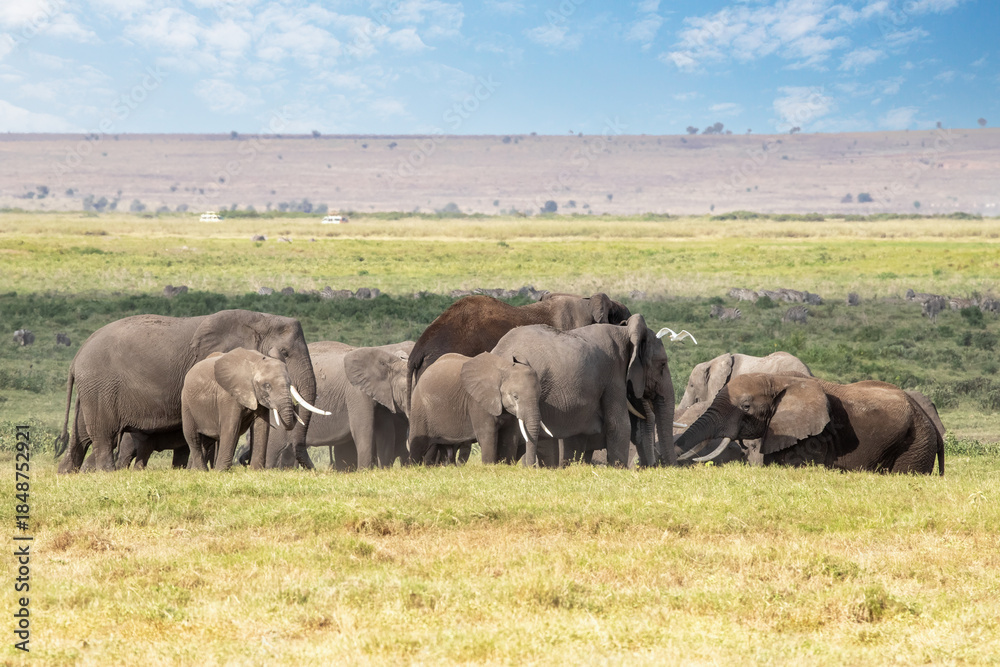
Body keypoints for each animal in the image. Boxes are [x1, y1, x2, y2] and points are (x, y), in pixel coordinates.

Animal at [181, 349, 327, 471]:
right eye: (267, 386)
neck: (255, 363)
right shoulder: (228, 395)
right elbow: (231, 427)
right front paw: (221, 472)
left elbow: (261, 427)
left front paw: (256, 471)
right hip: (186, 404)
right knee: (193, 437)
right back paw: (202, 471)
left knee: (206, 441)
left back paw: (196, 471)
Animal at [267, 341, 413, 470]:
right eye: (405, 390)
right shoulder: (356, 392)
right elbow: (363, 429)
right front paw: (364, 472)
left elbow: (386, 432)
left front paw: (383, 470)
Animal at [407, 352, 543, 465]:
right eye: (515, 396)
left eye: (539, 395)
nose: (531, 467)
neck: (504, 368)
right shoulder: (477, 402)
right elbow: (487, 436)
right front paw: (489, 467)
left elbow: (509, 438)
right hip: (420, 409)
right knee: (417, 447)